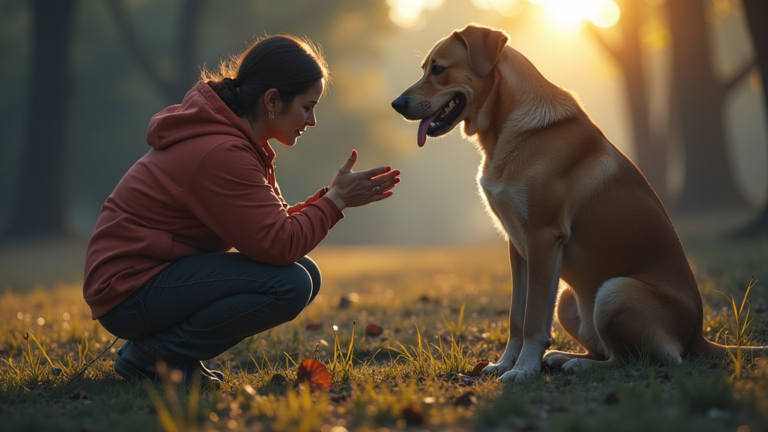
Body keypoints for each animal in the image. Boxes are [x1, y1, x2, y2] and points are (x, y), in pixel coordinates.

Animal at [392, 24, 764, 382]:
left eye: (438, 69)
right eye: (425, 68)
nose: (396, 104)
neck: (506, 131)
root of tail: (698, 333)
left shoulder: (543, 238)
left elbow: (532, 320)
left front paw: (524, 370)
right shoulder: (518, 245)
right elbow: (516, 317)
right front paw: (506, 364)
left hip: (614, 292)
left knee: (637, 360)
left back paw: (577, 365)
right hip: (570, 300)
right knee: (605, 349)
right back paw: (562, 357)